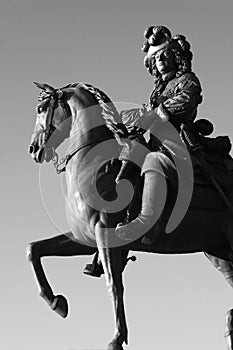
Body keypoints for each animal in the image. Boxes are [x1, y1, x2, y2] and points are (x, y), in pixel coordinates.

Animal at [27, 82, 233, 350]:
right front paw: (56, 302)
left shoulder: (106, 236)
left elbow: (114, 285)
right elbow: (34, 250)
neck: (95, 163)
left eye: (41, 108)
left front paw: (117, 337)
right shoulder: (85, 238)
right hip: (217, 252)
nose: (33, 149)